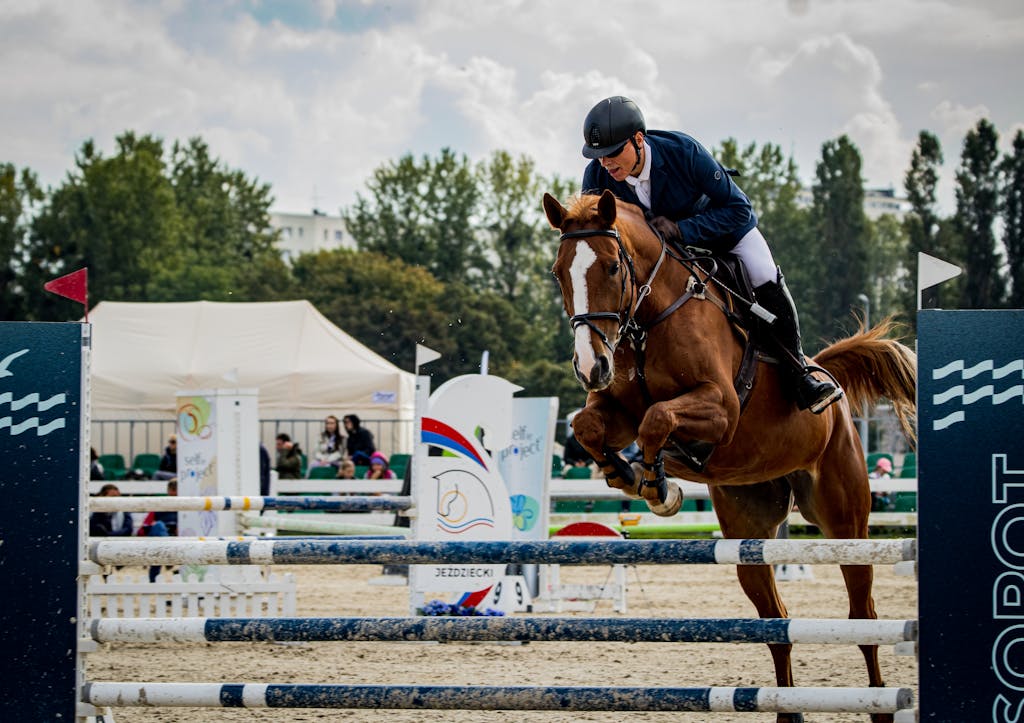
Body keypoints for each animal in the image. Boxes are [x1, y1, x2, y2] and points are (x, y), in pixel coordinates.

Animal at [544, 187, 921, 720]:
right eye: (560, 273)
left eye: (614, 269)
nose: (589, 366)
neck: (649, 320)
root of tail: (833, 386)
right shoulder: (614, 408)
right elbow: (588, 425)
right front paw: (629, 474)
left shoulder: (720, 408)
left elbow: (657, 418)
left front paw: (658, 486)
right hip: (749, 532)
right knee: (777, 623)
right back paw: (787, 709)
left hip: (846, 520)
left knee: (863, 615)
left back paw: (878, 704)